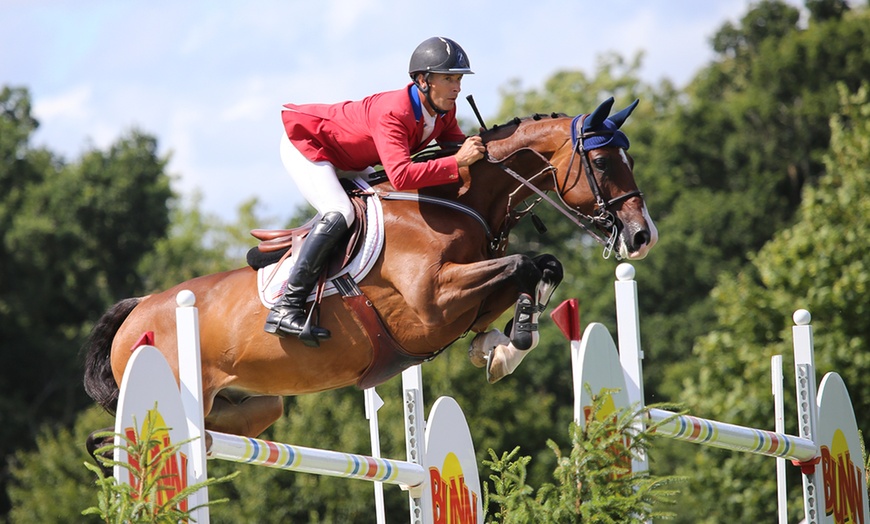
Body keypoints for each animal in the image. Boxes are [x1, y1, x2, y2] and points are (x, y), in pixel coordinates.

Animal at [83, 97, 656, 438]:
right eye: (602, 162)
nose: (642, 235)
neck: (450, 202)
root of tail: (140, 309)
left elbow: (539, 267)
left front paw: (499, 347)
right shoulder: (430, 303)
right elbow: (522, 264)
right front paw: (507, 345)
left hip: (251, 405)